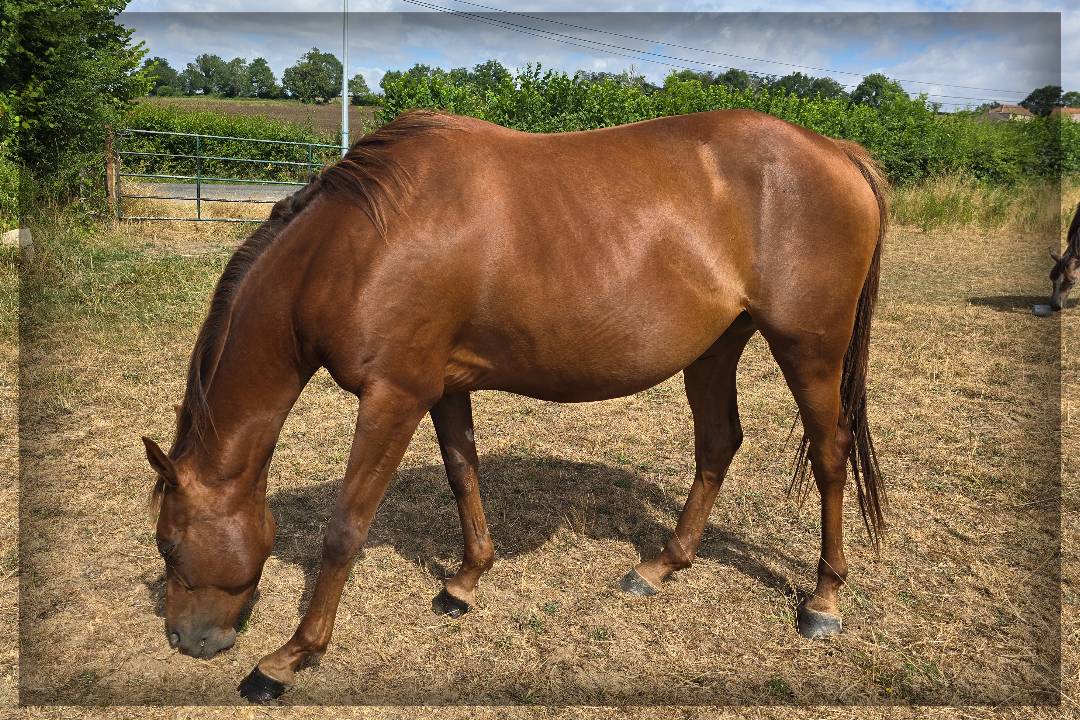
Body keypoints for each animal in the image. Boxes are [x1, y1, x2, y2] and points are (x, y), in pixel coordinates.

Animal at [141, 109, 888, 703]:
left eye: (168, 544)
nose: (188, 640)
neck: (357, 246)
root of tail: (836, 152)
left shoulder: (393, 397)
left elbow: (344, 528)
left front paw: (289, 659)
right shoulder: (443, 388)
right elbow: (462, 474)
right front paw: (465, 582)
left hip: (809, 348)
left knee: (829, 454)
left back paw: (823, 600)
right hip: (715, 348)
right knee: (718, 442)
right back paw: (660, 566)